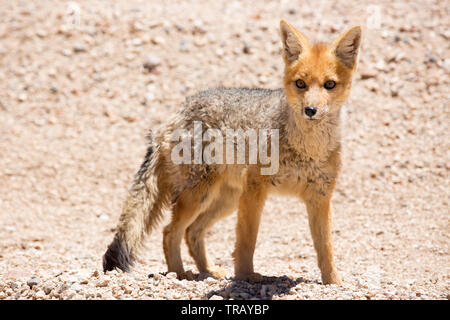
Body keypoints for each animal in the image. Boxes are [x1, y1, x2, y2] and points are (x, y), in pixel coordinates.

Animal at [103, 20, 362, 284]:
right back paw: (180, 274)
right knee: (170, 232)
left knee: (192, 233)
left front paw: (333, 282)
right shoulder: (254, 190)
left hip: (224, 200)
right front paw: (246, 276)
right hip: (200, 196)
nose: (310, 110)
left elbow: (326, 247)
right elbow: (246, 241)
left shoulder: (320, 196)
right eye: (301, 84)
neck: (308, 148)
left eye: (329, 84)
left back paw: (207, 271)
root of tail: (179, 110)